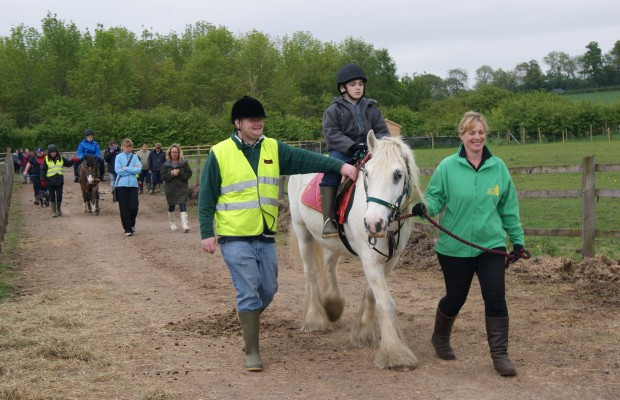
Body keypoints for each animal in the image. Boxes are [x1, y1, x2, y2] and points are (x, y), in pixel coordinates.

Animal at [290, 130, 426, 368]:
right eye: (367, 174)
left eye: (398, 174)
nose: (373, 224)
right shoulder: (370, 258)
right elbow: (386, 303)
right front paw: (395, 354)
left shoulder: (389, 260)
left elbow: (372, 294)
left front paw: (363, 333)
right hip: (302, 233)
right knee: (311, 273)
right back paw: (316, 320)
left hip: (332, 242)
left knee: (329, 266)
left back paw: (332, 305)